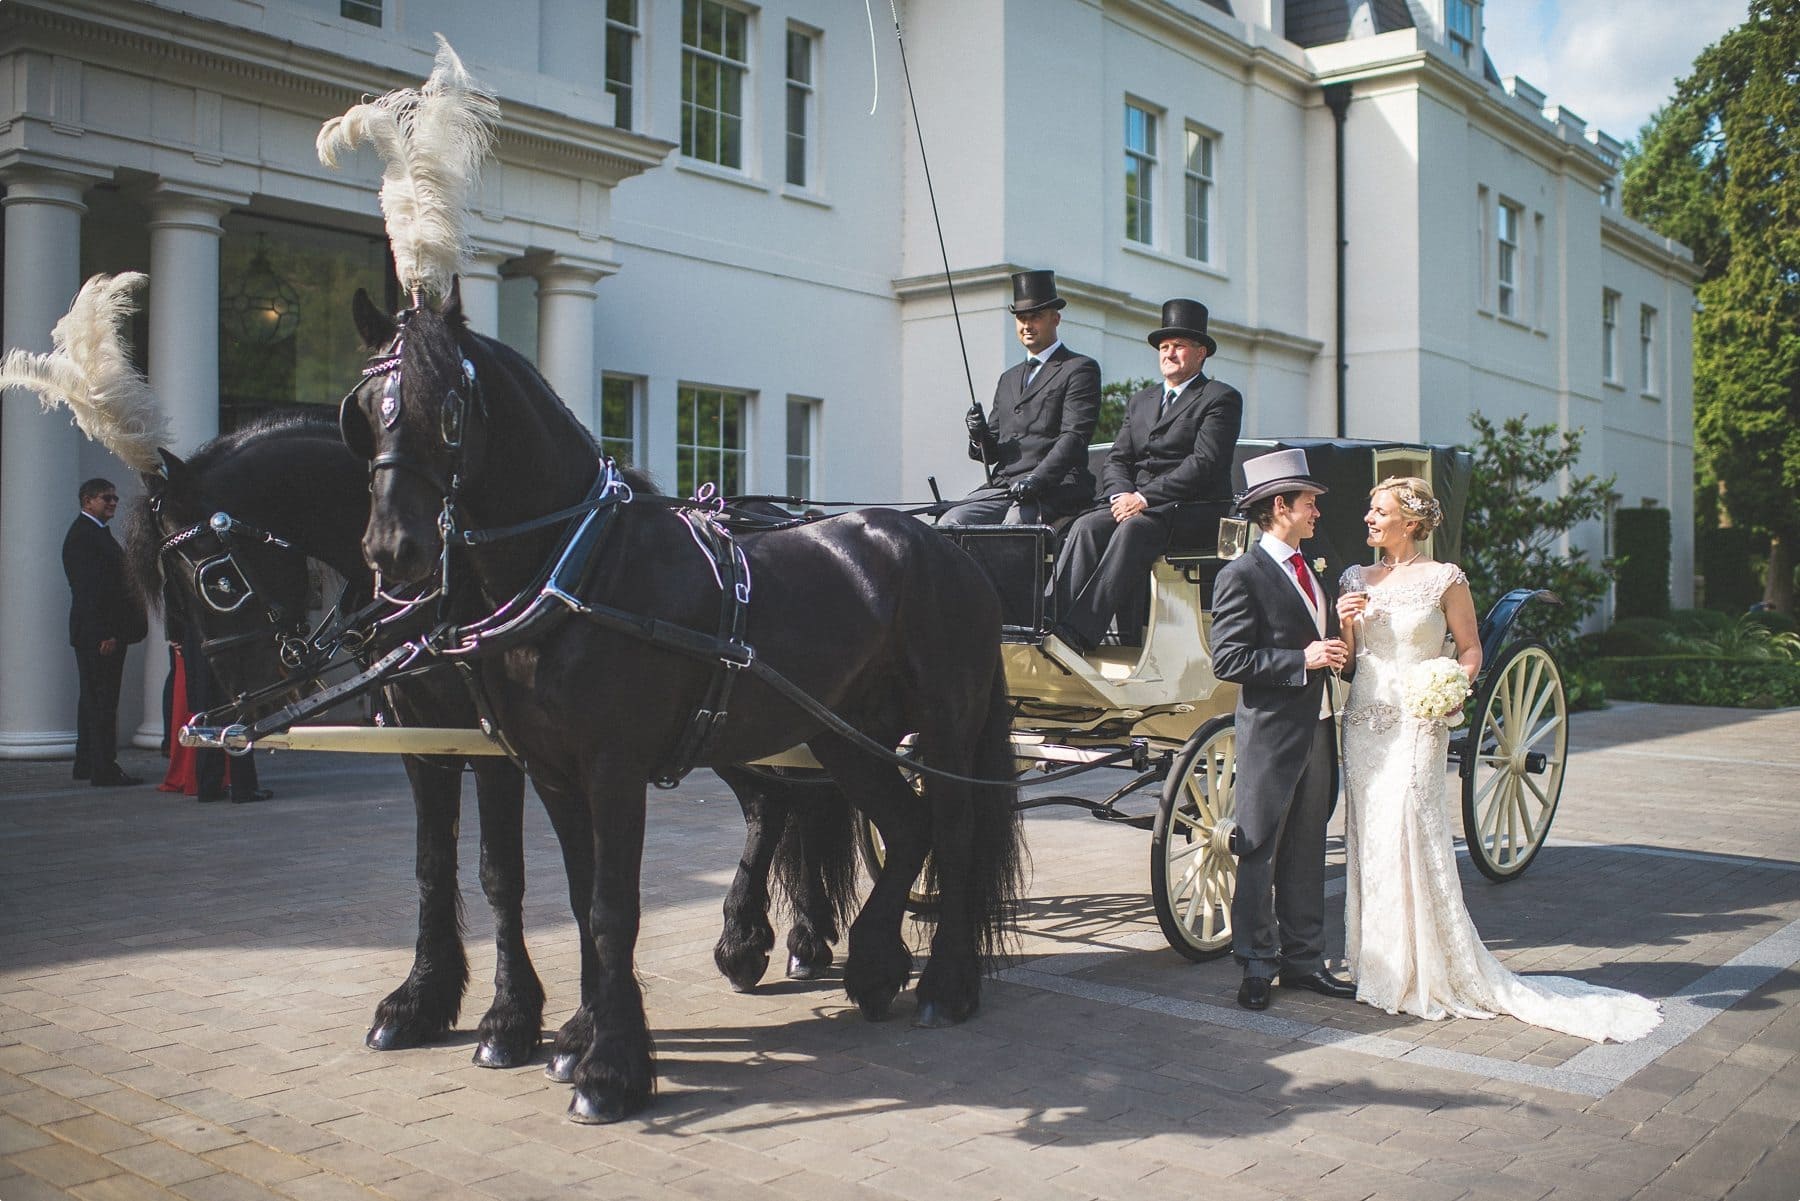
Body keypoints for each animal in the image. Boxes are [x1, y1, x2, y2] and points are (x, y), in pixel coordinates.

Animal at [123, 410, 860, 1073]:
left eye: (216, 579)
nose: (256, 694)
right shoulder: (425, 745)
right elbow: (432, 866)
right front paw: (420, 999)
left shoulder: (497, 750)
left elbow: (500, 873)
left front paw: (510, 1018)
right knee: (778, 803)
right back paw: (775, 937)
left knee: (791, 801)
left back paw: (777, 935)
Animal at [338, 286, 1029, 1123]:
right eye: (363, 411)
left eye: (446, 405)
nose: (391, 550)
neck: (580, 566)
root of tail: (947, 549)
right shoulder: (549, 770)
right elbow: (579, 899)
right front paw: (577, 1035)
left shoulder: (610, 767)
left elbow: (612, 907)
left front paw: (610, 1068)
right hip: (847, 736)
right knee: (905, 825)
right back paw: (871, 965)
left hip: (947, 728)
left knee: (953, 833)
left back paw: (945, 984)